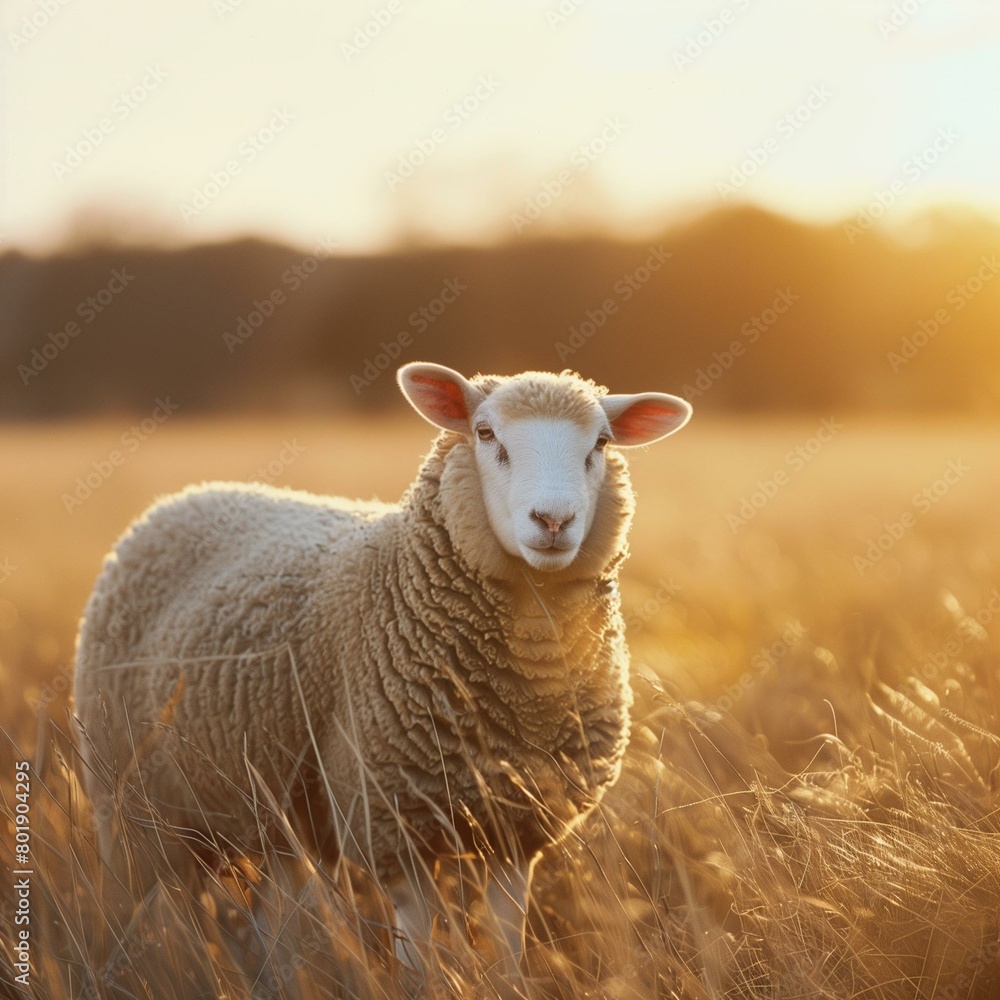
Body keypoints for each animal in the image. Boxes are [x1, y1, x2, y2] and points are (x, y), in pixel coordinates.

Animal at [73, 362, 692, 973]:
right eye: (485, 433)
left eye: (602, 443)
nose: (554, 520)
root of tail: (185, 497)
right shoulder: (393, 819)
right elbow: (418, 955)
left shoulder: (520, 828)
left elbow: (505, 947)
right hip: (128, 803)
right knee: (145, 912)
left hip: (276, 812)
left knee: (274, 916)